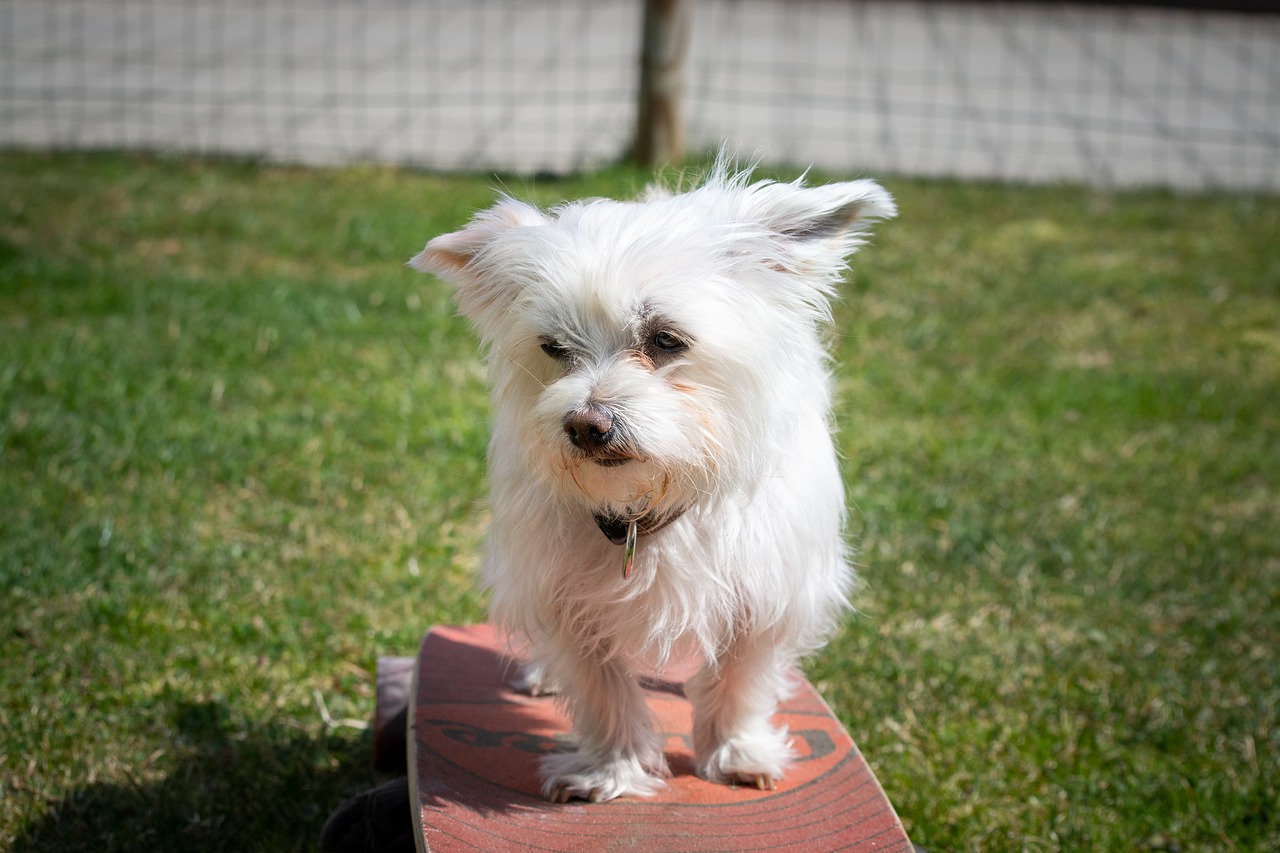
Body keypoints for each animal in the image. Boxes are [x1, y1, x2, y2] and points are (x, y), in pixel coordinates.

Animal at [414, 156, 896, 799]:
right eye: (553, 347)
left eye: (666, 339)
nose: (584, 425)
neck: (650, 501)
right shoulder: (566, 595)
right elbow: (601, 689)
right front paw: (611, 769)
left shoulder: (765, 590)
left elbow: (740, 679)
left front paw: (736, 751)